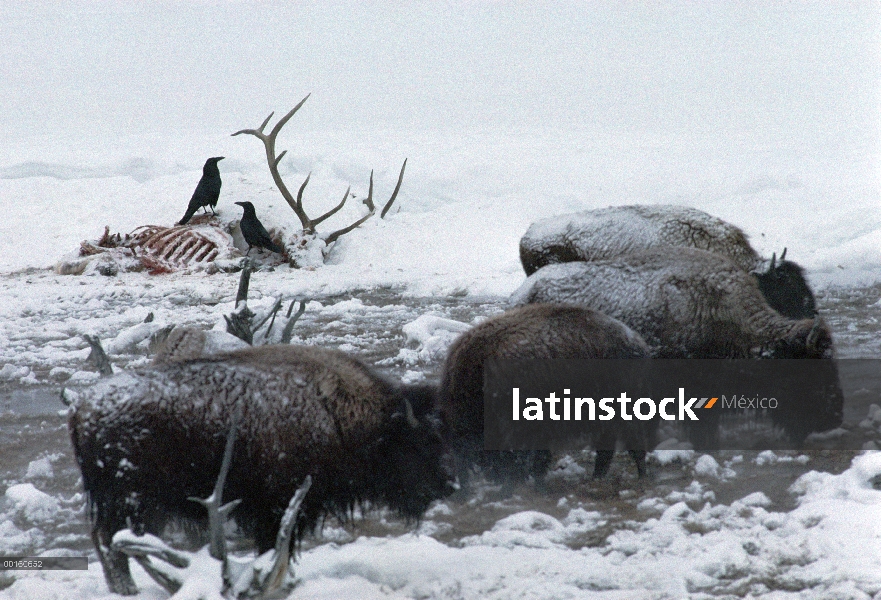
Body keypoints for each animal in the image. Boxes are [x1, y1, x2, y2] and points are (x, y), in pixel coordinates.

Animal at [69, 344, 454, 596]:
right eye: (419, 444)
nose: (448, 485)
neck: (338, 414)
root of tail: (81, 407)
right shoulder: (279, 510)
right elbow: (273, 555)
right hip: (131, 503)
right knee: (112, 546)